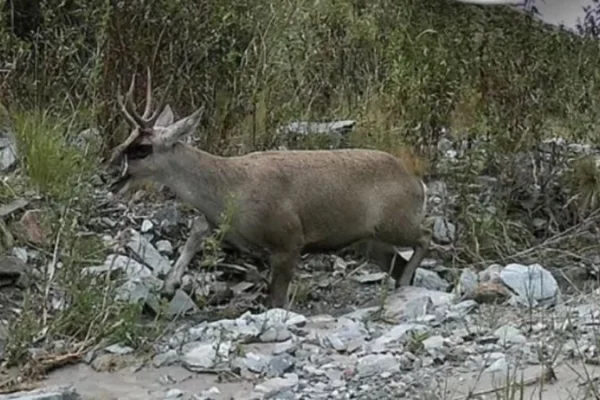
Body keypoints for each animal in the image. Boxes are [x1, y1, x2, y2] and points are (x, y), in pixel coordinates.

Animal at [105, 69, 434, 310]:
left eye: (142, 148)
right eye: (127, 139)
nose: (110, 173)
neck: (229, 188)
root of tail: (417, 183)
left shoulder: (289, 238)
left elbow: (277, 300)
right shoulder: (220, 223)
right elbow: (197, 229)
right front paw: (168, 285)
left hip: (394, 222)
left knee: (426, 237)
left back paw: (404, 284)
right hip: (370, 241)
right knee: (400, 258)